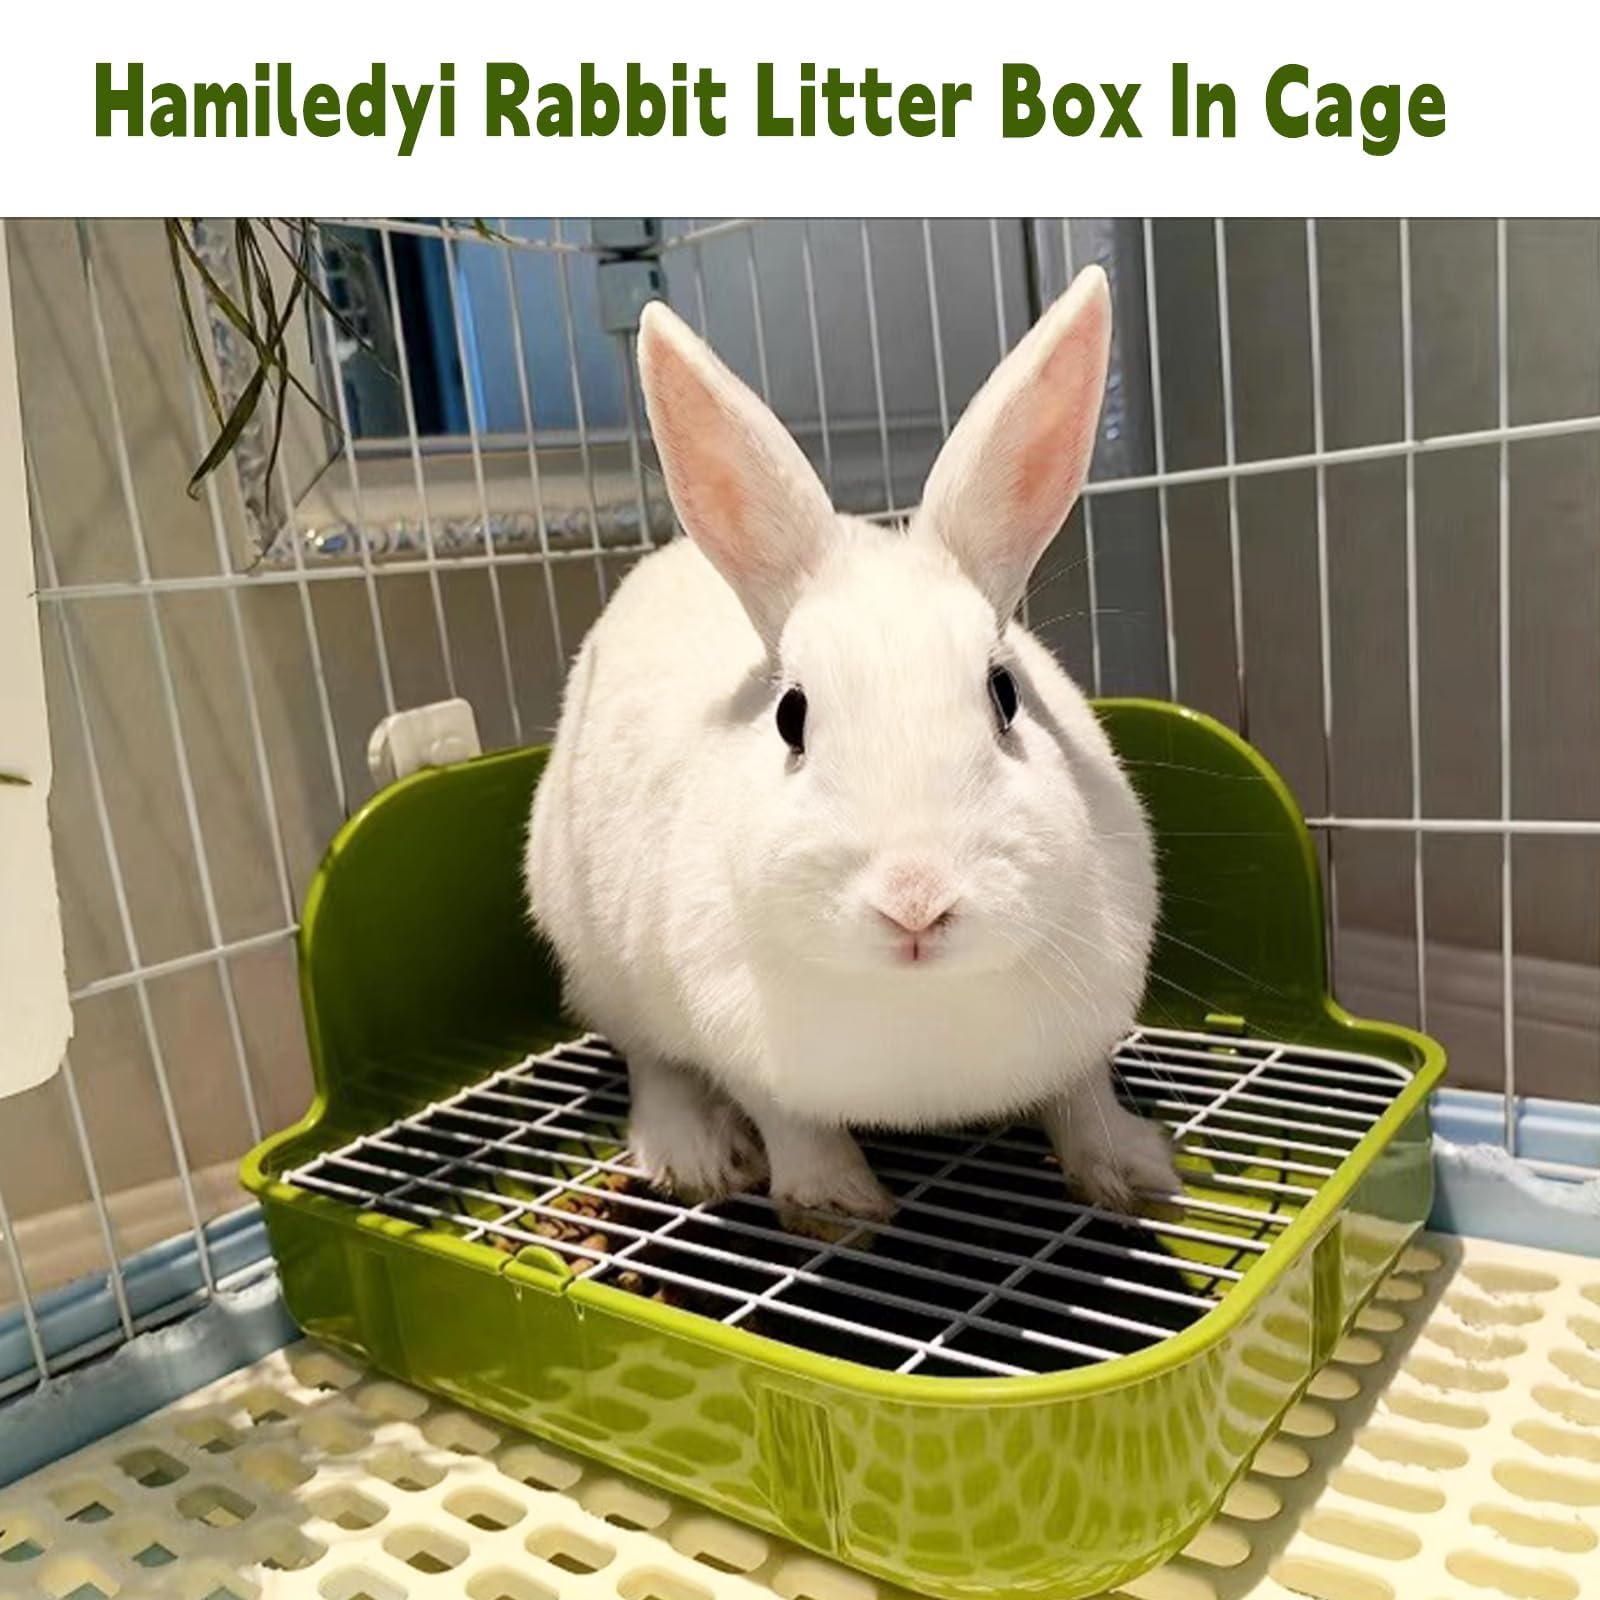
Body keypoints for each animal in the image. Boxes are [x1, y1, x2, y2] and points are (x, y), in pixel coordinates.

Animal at [525, 263, 1178, 1224]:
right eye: (791, 717)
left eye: (1005, 695)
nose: (915, 901)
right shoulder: (740, 1044)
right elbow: (791, 1121)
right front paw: (836, 1207)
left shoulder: (1083, 1030)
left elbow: (1081, 1094)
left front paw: (1131, 1174)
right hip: (602, 965)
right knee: (653, 1063)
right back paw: (696, 1157)